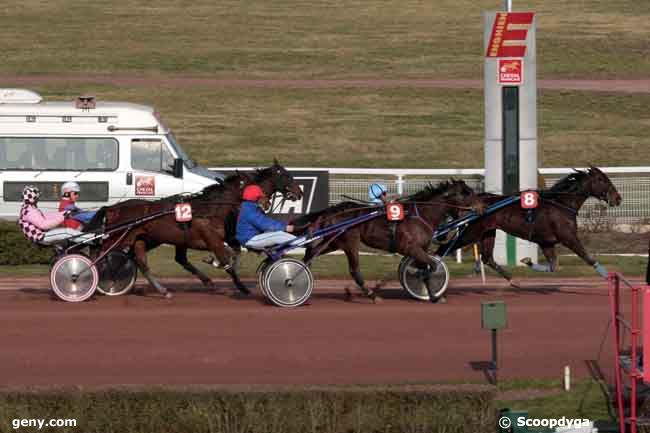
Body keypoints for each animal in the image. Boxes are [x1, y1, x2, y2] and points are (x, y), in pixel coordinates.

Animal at [88, 160, 302, 298]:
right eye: (286, 175)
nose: (299, 192)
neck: (212, 208)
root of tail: (114, 208)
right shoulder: (212, 240)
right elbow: (228, 261)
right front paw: (242, 287)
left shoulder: (227, 236)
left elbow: (235, 253)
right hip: (119, 237)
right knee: (98, 252)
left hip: (143, 238)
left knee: (141, 262)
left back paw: (163, 290)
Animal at [292, 178, 480, 300]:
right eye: (467, 193)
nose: (481, 206)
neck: (420, 215)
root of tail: (332, 211)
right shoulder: (411, 248)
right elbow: (432, 267)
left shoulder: (420, 249)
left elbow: (426, 268)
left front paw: (433, 295)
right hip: (350, 242)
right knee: (354, 270)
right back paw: (370, 294)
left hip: (333, 242)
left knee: (310, 254)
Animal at [438, 165, 620, 280]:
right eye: (602, 179)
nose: (618, 198)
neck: (561, 203)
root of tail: (474, 203)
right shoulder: (568, 237)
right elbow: (588, 257)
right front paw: (605, 274)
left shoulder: (547, 242)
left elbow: (553, 266)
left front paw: (527, 261)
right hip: (471, 233)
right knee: (443, 249)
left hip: (488, 232)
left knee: (487, 258)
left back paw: (512, 279)